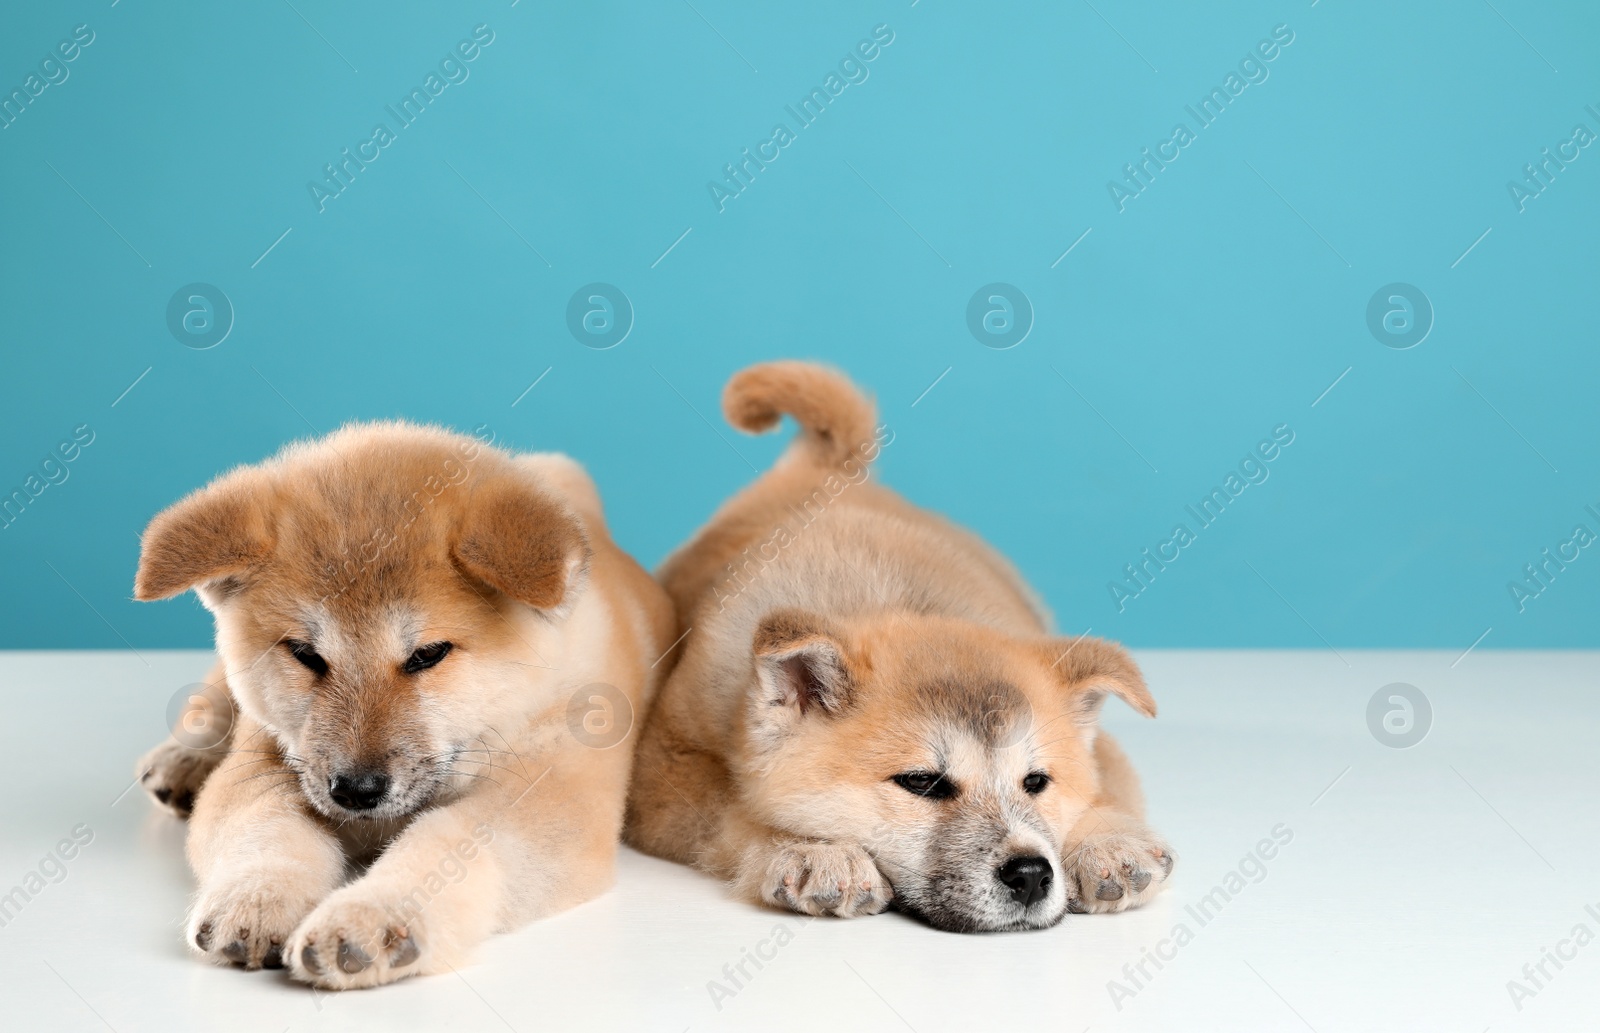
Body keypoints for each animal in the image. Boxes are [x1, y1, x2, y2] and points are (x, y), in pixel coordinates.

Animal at [129, 425, 668, 991]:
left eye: (428, 654)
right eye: (305, 654)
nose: (356, 792)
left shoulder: (548, 797)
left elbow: (443, 842)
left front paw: (371, 916)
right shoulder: (264, 763)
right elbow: (267, 830)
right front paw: (256, 899)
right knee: (214, 695)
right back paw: (183, 759)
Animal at [627, 366, 1177, 940]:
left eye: (1036, 782)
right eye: (921, 783)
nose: (1030, 874)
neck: (893, 599)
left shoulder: (1104, 754)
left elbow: (1105, 793)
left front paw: (1108, 844)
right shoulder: (663, 772)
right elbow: (737, 814)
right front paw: (815, 851)